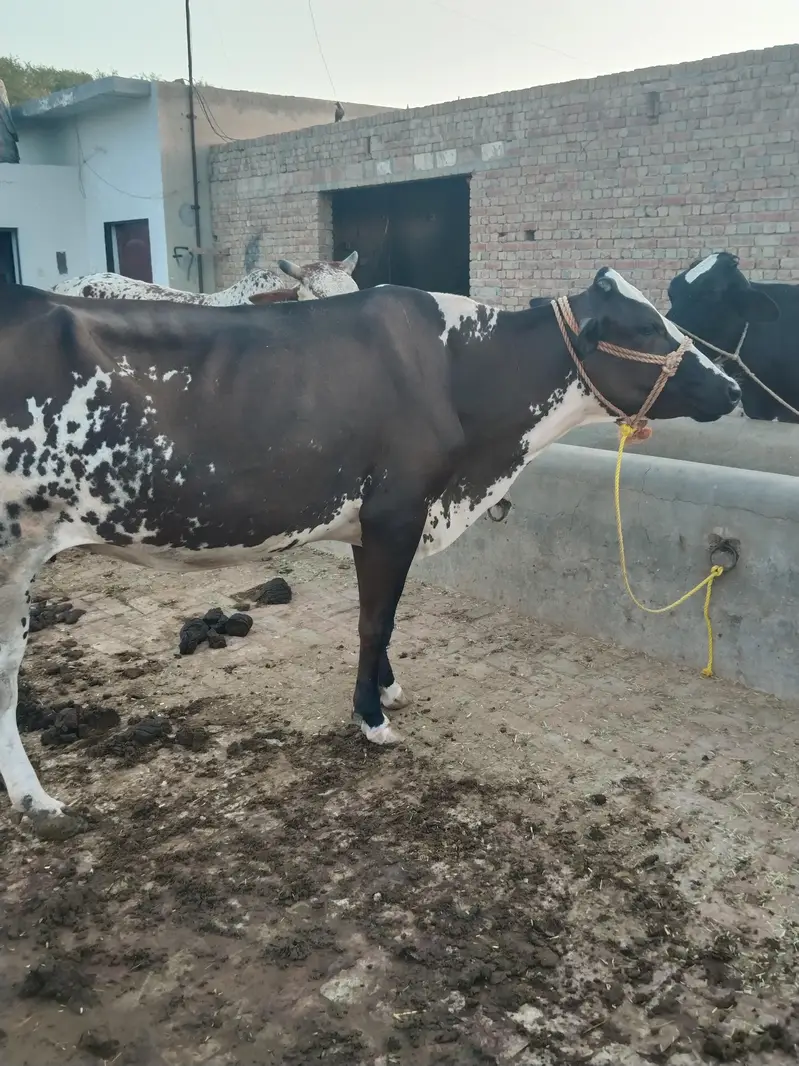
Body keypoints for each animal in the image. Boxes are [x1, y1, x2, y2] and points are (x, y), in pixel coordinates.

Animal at [0, 267, 740, 836]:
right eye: (644, 328)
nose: (734, 388)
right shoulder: (397, 510)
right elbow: (376, 618)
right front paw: (371, 717)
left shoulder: (370, 521)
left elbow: (375, 616)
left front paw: (384, 687)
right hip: (13, 552)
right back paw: (38, 801)